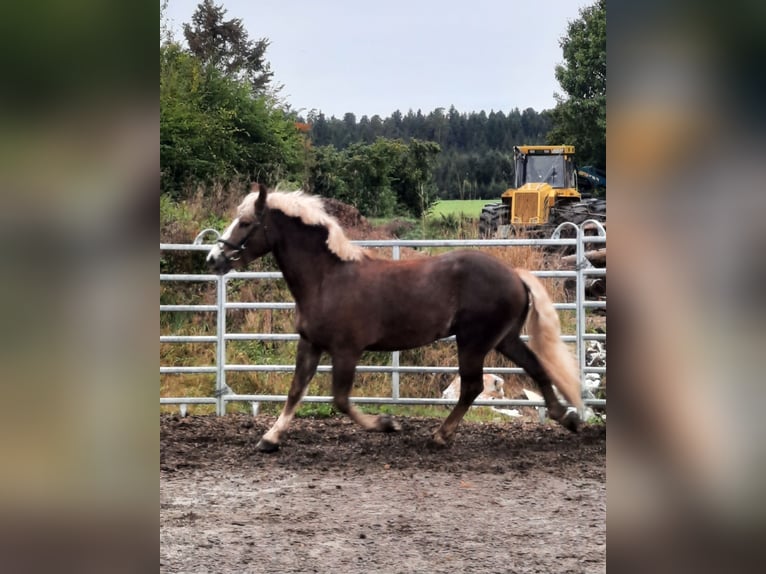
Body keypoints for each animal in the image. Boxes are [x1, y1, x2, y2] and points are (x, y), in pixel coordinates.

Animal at [207, 184, 584, 454]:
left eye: (246, 223)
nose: (213, 258)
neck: (327, 278)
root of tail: (514, 274)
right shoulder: (310, 344)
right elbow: (296, 390)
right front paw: (269, 439)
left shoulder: (347, 350)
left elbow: (340, 400)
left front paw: (387, 424)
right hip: (504, 338)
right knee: (536, 367)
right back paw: (567, 418)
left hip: (473, 341)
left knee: (472, 386)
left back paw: (440, 436)